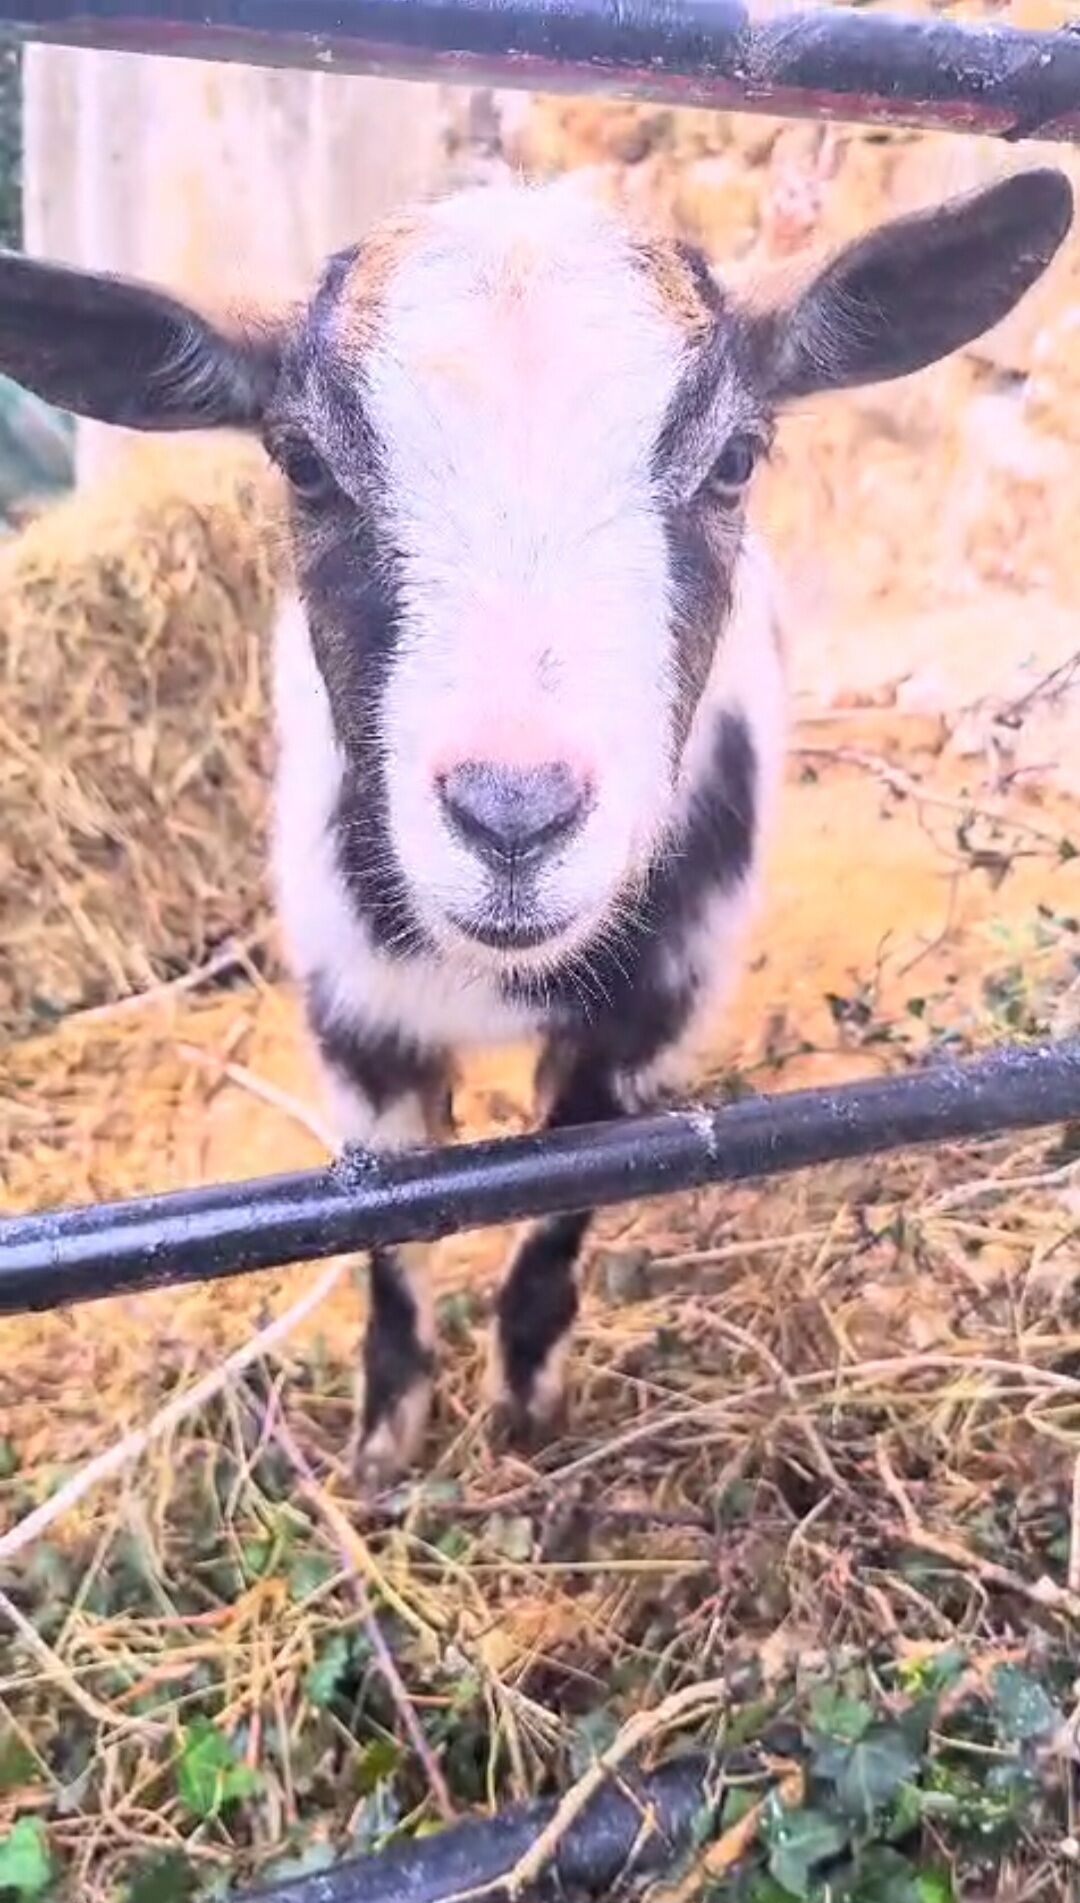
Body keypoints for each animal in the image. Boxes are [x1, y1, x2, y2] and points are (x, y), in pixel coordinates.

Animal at [0, 166, 1070, 1485]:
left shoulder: (650, 1013)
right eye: (302, 463)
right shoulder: (354, 1018)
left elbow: (565, 1195)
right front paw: (388, 1438)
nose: (514, 817)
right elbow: (389, 1227)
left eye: (736, 459)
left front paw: (529, 1392)